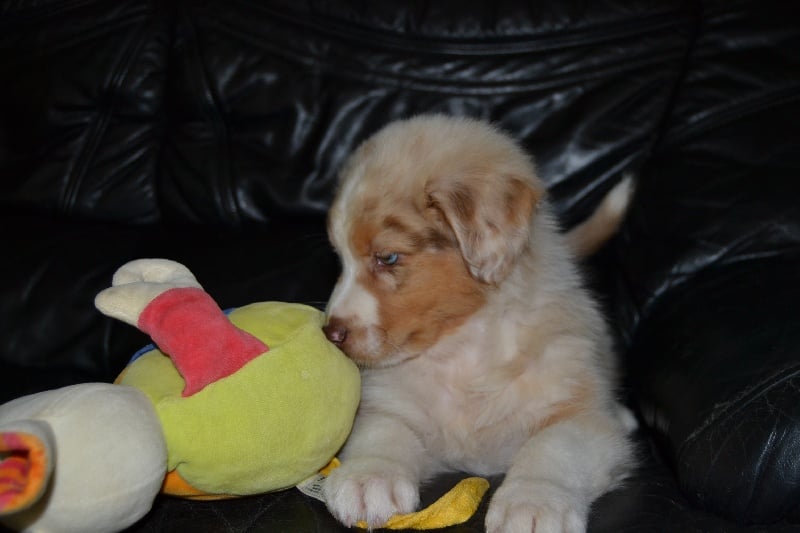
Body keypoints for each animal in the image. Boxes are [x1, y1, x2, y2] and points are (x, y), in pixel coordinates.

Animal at [322, 115, 636, 533]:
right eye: (339, 259)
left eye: (387, 258)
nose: (331, 333)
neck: (462, 350)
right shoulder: (393, 406)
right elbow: (383, 430)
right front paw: (368, 477)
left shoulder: (580, 415)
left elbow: (554, 448)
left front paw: (534, 502)